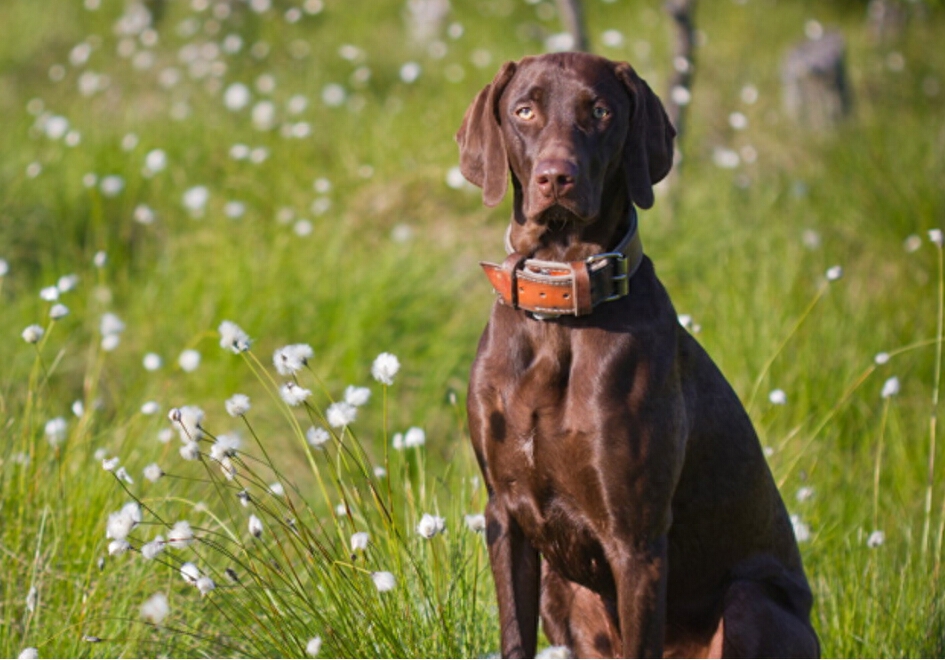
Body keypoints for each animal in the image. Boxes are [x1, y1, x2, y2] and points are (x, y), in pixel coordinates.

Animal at [458, 52, 820, 660]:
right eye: (524, 110)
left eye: (601, 111)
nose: (556, 177)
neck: (560, 314)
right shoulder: (505, 517)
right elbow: (514, 636)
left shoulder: (636, 539)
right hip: (559, 589)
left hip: (751, 601)